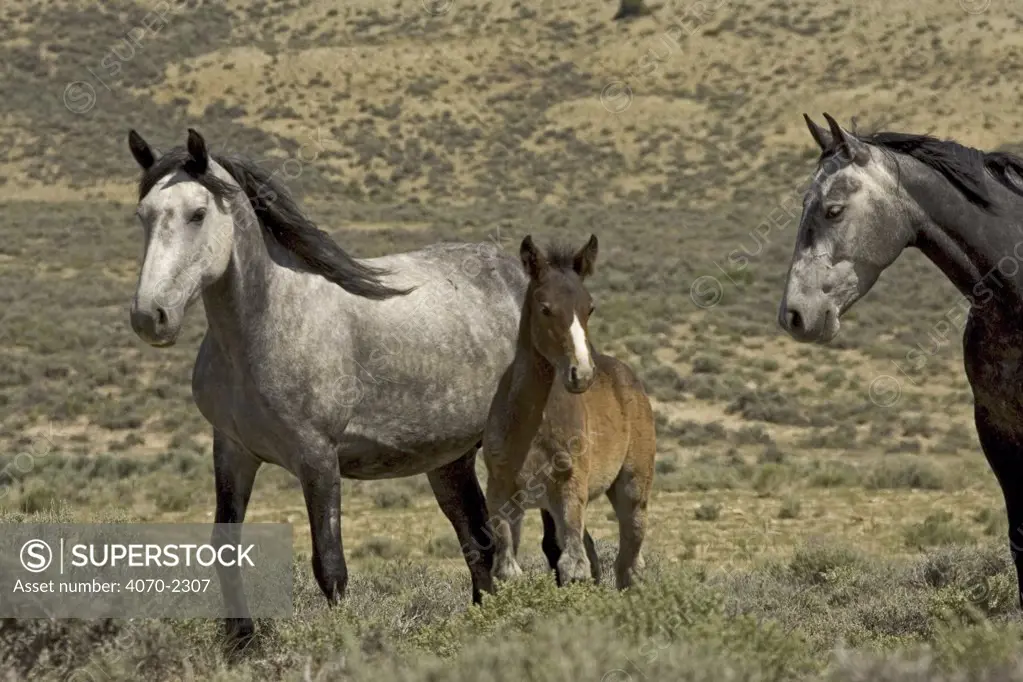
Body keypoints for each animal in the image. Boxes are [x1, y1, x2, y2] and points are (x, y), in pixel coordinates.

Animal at [124, 127, 597, 646]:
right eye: (143, 215)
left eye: (198, 213)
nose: (150, 316)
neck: (264, 325)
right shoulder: (232, 451)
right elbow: (225, 550)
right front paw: (240, 645)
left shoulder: (317, 459)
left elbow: (329, 565)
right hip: (450, 461)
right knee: (479, 541)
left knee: (566, 541)